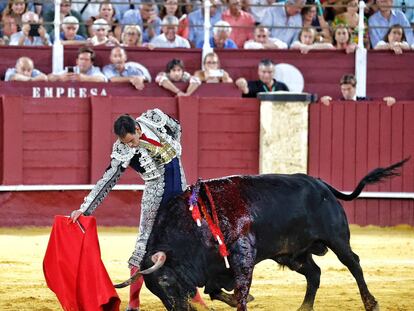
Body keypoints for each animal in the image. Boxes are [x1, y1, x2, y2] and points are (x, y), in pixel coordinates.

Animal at [115, 160, 406, 310]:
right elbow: (215, 290)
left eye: (165, 281)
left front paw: (242, 299)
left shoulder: (242, 253)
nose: (177, 309)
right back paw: (304, 308)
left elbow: (241, 289)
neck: (193, 225)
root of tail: (321, 184)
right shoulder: (216, 267)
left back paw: (371, 302)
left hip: (337, 238)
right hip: (292, 254)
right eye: (153, 289)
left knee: (353, 263)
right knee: (314, 273)